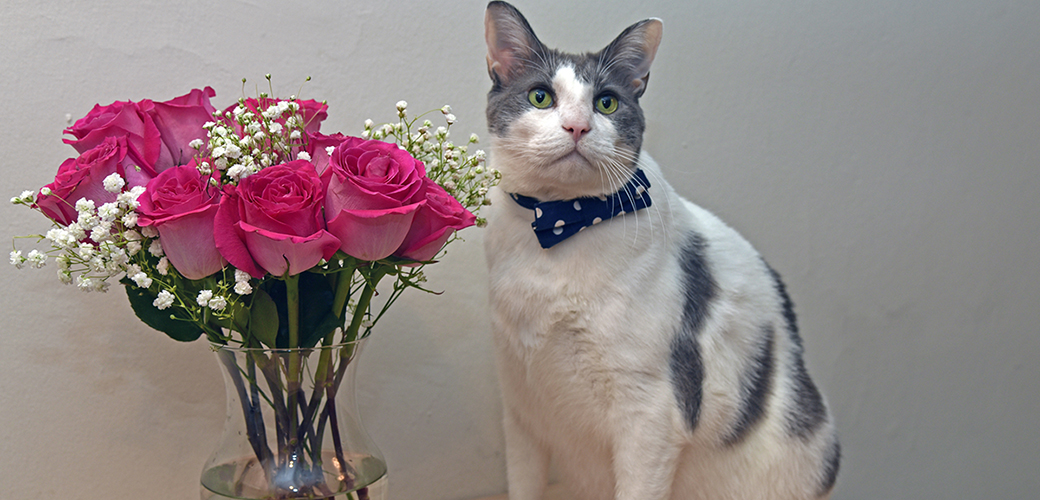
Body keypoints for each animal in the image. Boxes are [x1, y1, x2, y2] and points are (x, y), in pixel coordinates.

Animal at [478, 1, 836, 496]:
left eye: (606, 102)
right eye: (540, 97)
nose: (578, 126)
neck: (559, 226)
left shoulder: (651, 415)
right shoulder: (522, 411)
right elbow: (523, 484)